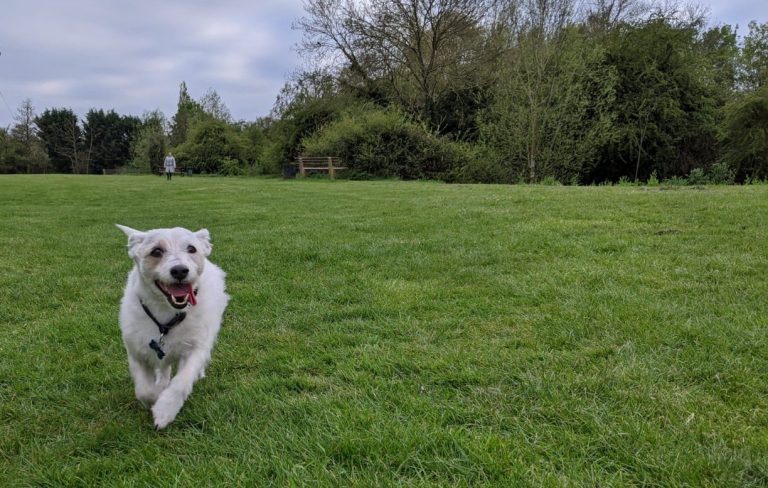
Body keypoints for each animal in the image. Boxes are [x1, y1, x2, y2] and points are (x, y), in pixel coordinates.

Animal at [114, 223, 228, 428]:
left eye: (192, 249)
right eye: (156, 251)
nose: (180, 270)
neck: (166, 313)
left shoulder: (195, 348)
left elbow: (181, 382)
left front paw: (165, 410)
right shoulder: (136, 351)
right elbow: (144, 390)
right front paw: (156, 396)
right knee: (164, 368)